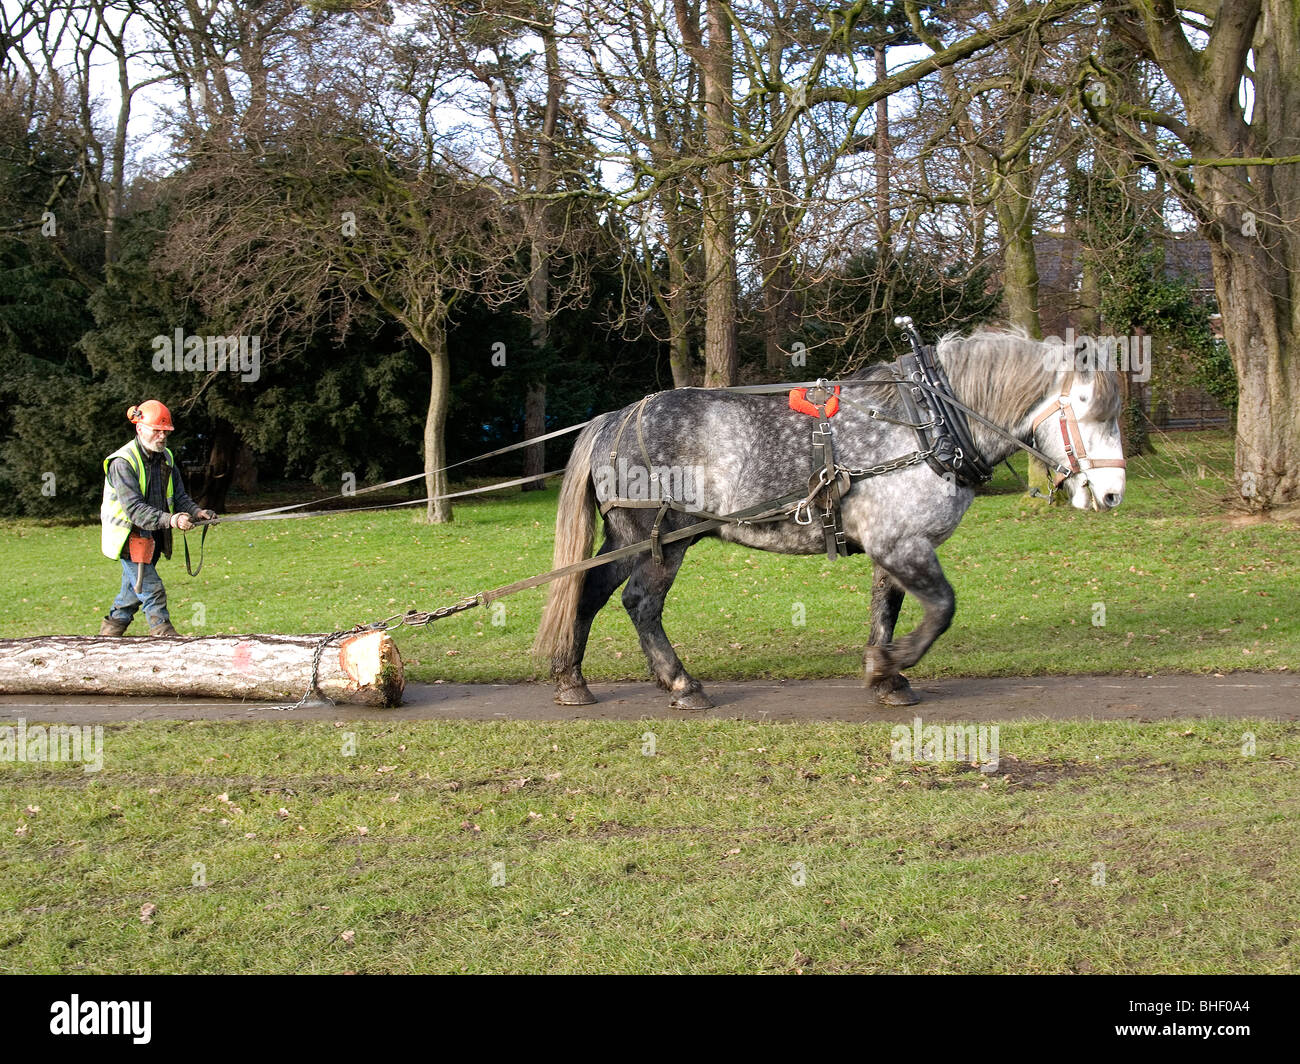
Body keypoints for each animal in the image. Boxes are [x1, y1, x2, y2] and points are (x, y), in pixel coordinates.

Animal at [535, 323, 1128, 702]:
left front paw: (888, 679)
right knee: (641, 603)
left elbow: (887, 607)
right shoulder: (901, 543)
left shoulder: (896, 543)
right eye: (1085, 407)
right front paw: (888, 665)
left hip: (624, 536)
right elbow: (942, 608)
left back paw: (572, 682)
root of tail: (616, 417)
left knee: (588, 593)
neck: (929, 423)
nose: (1113, 494)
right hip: (665, 538)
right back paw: (682, 685)